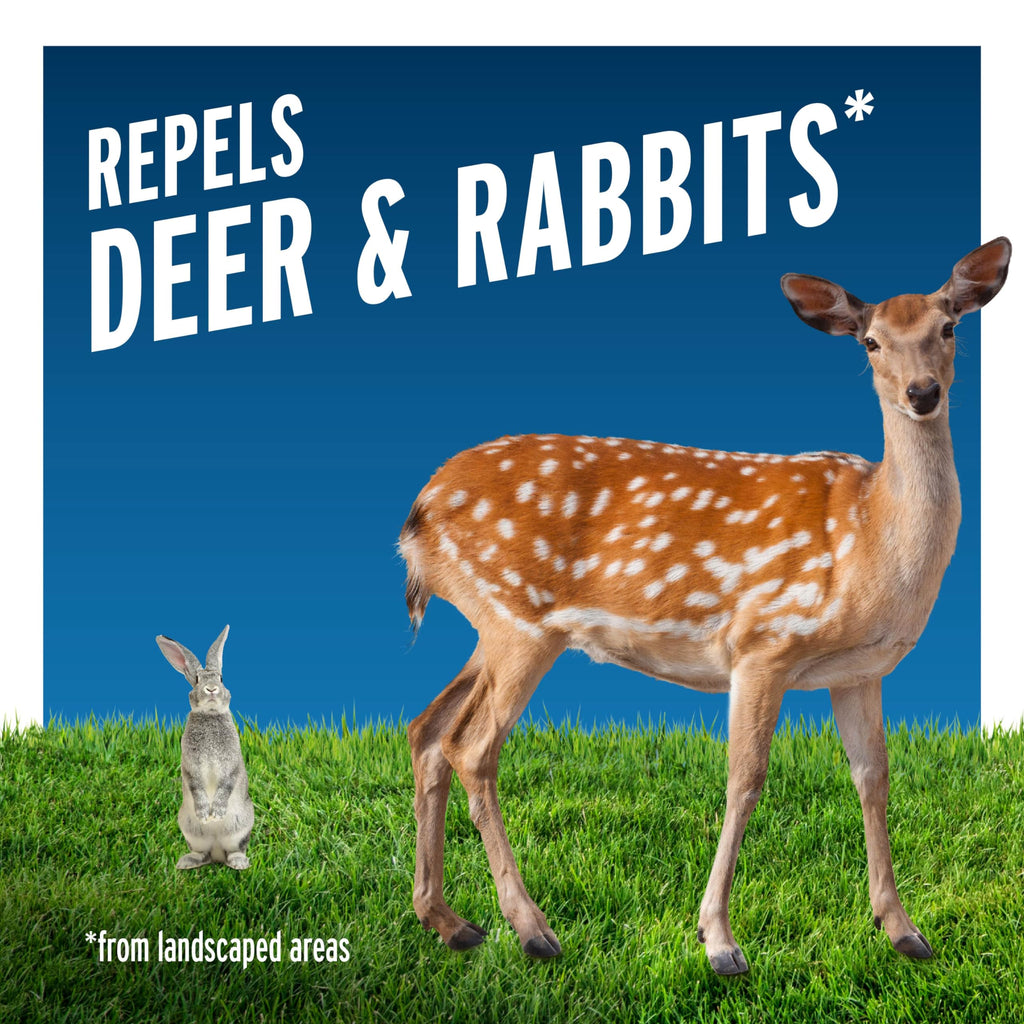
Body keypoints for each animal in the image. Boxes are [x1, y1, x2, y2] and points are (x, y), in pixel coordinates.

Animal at [156, 625, 254, 870]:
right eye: (197, 680)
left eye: (221, 677)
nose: (211, 689)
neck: (209, 714)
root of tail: (217, 852)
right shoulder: (190, 766)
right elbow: (196, 785)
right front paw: (205, 814)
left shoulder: (231, 763)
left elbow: (227, 782)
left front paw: (216, 813)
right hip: (191, 830)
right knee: (203, 854)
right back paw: (186, 862)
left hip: (241, 827)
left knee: (234, 850)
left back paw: (239, 863)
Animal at [398, 237, 1011, 974]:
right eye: (870, 342)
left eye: (949, 328)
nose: (922, 393)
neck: (871, 538)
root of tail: (417, 513)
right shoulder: (763, 642)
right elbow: (745, 779)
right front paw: (718, 940)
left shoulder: (860, 670)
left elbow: (875, 777)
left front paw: (902, 929)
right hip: (520, 620)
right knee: (471, 747)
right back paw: (530, 928)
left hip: (493, 624)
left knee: (427, 728)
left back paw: (448, 921)